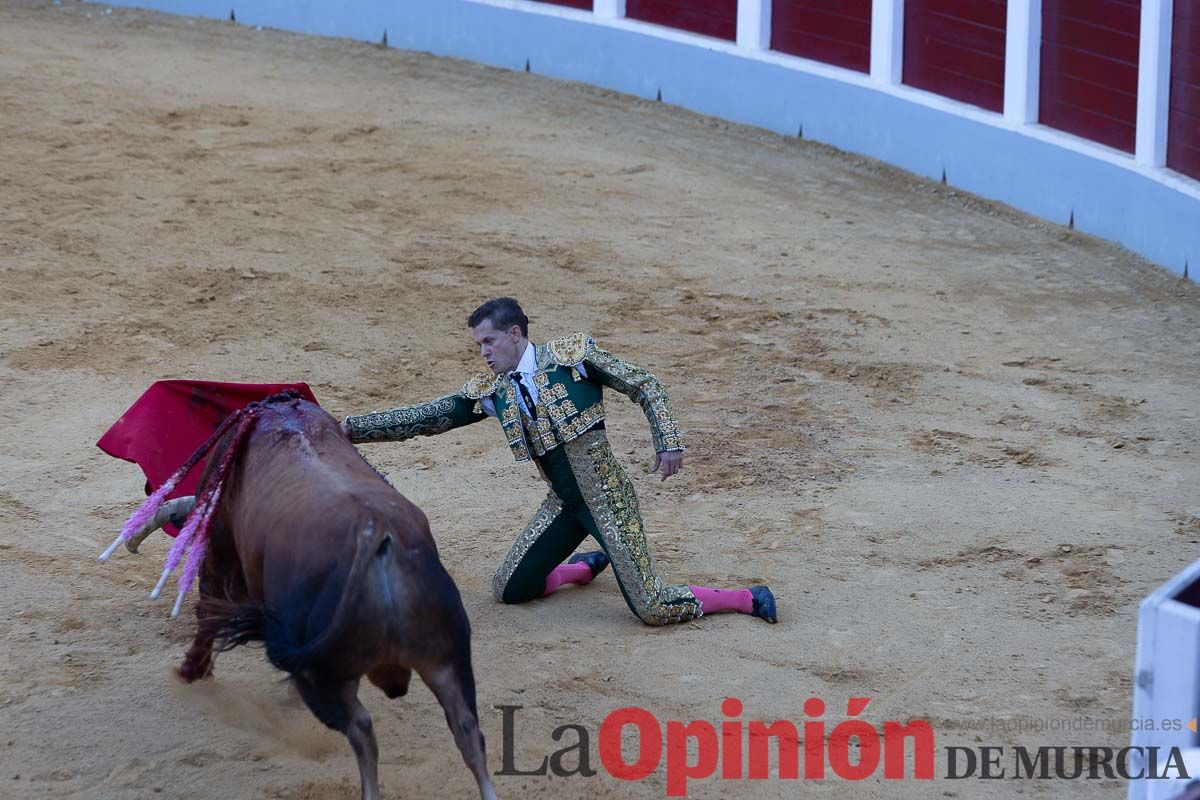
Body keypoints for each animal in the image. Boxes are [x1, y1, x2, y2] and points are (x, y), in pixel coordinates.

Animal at [99, 393, 496, 800]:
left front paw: (191, 671)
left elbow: (206, 612)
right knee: (467, 730)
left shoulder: (219, 550)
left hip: (324, 674)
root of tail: (376, 532)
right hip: (447, 658)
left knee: (362, 729)